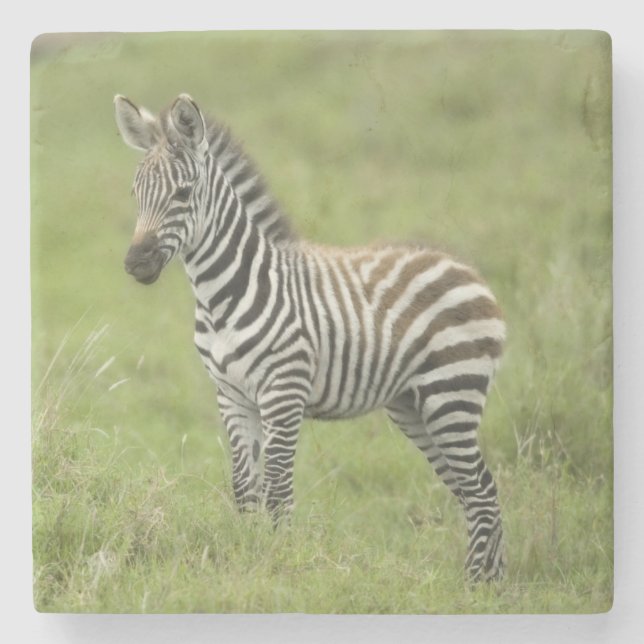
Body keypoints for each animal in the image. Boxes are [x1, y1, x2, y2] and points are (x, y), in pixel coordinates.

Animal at [114, 93, 506, 582]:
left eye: (183, 194)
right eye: (135, 194)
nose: (135, 264)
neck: (222, 296)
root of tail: (467, 269)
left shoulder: (283, 393)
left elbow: (278, 492)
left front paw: (277, 564)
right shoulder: (231, 395)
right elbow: (244, 490)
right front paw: (247, 556)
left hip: (451, 394)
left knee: (483, 492)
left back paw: (475, 586)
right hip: (414, 407)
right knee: (472, 492)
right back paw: (492, 584)